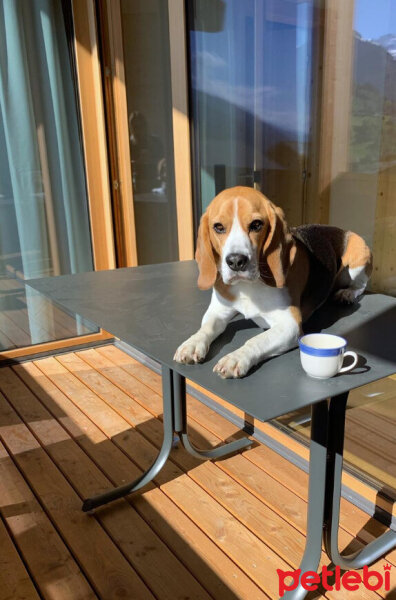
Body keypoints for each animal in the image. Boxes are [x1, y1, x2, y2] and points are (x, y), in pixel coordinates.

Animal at [173, 185, 372, 378]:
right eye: (219, 227)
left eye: (256, 225)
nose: (236, 261)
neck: (248, 287)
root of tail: (339, 229)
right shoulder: (218, 311)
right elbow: (206, 328)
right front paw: (191, 344)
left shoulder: (289, 325)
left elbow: (256, 340)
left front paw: (236, 358)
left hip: (359, 254)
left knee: (361, 286)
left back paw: (347, 293)